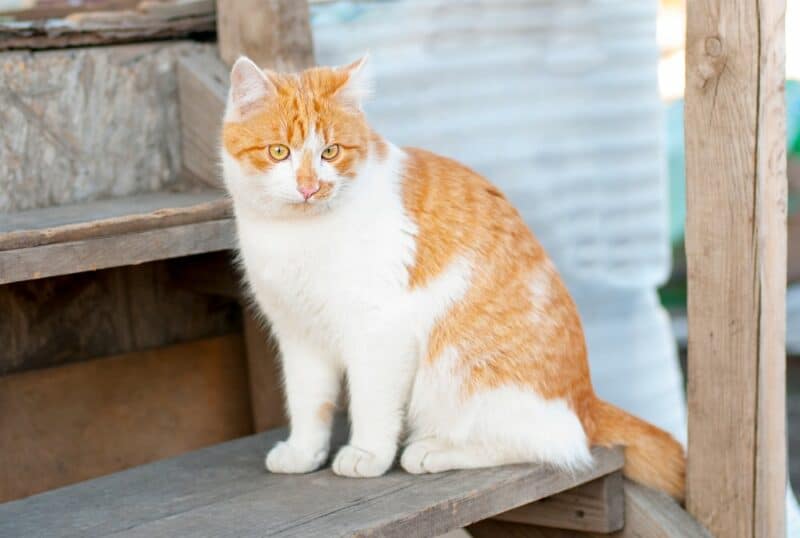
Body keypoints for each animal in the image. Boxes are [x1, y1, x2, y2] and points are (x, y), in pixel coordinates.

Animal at [222, 55, 684, 498]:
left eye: (331, 152)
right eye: (279, 152)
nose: (309, 186)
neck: (298, 235)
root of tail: (587, 399)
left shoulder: (380, 333)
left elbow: (371, 401)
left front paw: (367, 454)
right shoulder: (299, 335)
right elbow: (308, 402)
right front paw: (304, 453)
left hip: (462, 377)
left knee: (553, 443)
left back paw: (433, 450)